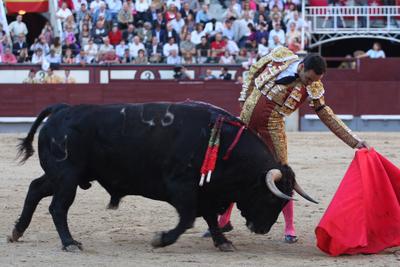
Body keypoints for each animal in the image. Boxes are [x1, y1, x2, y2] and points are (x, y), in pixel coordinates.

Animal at [7, 102, 316, 253]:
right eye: (271, 198)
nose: (261, 229)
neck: (223, 144)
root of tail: (61, 110)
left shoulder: (205, 191)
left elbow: (209, 218)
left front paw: (222, 242)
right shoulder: (181, 187)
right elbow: (188, 219)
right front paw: (161, 239)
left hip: (62, 176)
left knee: (35, 189)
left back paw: (17, 231)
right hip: (68, 176)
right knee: (58, 207)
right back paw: (70, 243)